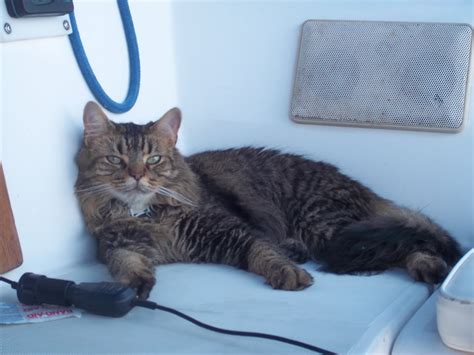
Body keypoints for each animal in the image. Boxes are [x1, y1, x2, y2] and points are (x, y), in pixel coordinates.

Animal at [76, 102, 462, 300]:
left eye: (154, 159)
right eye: (116, 159)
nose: (137, 175)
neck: (148, 215)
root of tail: (359, 187)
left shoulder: (234, 231)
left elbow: (263, 253)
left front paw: (286, 272)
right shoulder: (115, 243)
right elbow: (124, 262)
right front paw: (134, 282)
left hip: (327, 226)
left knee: (405, 241)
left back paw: (427, 264)